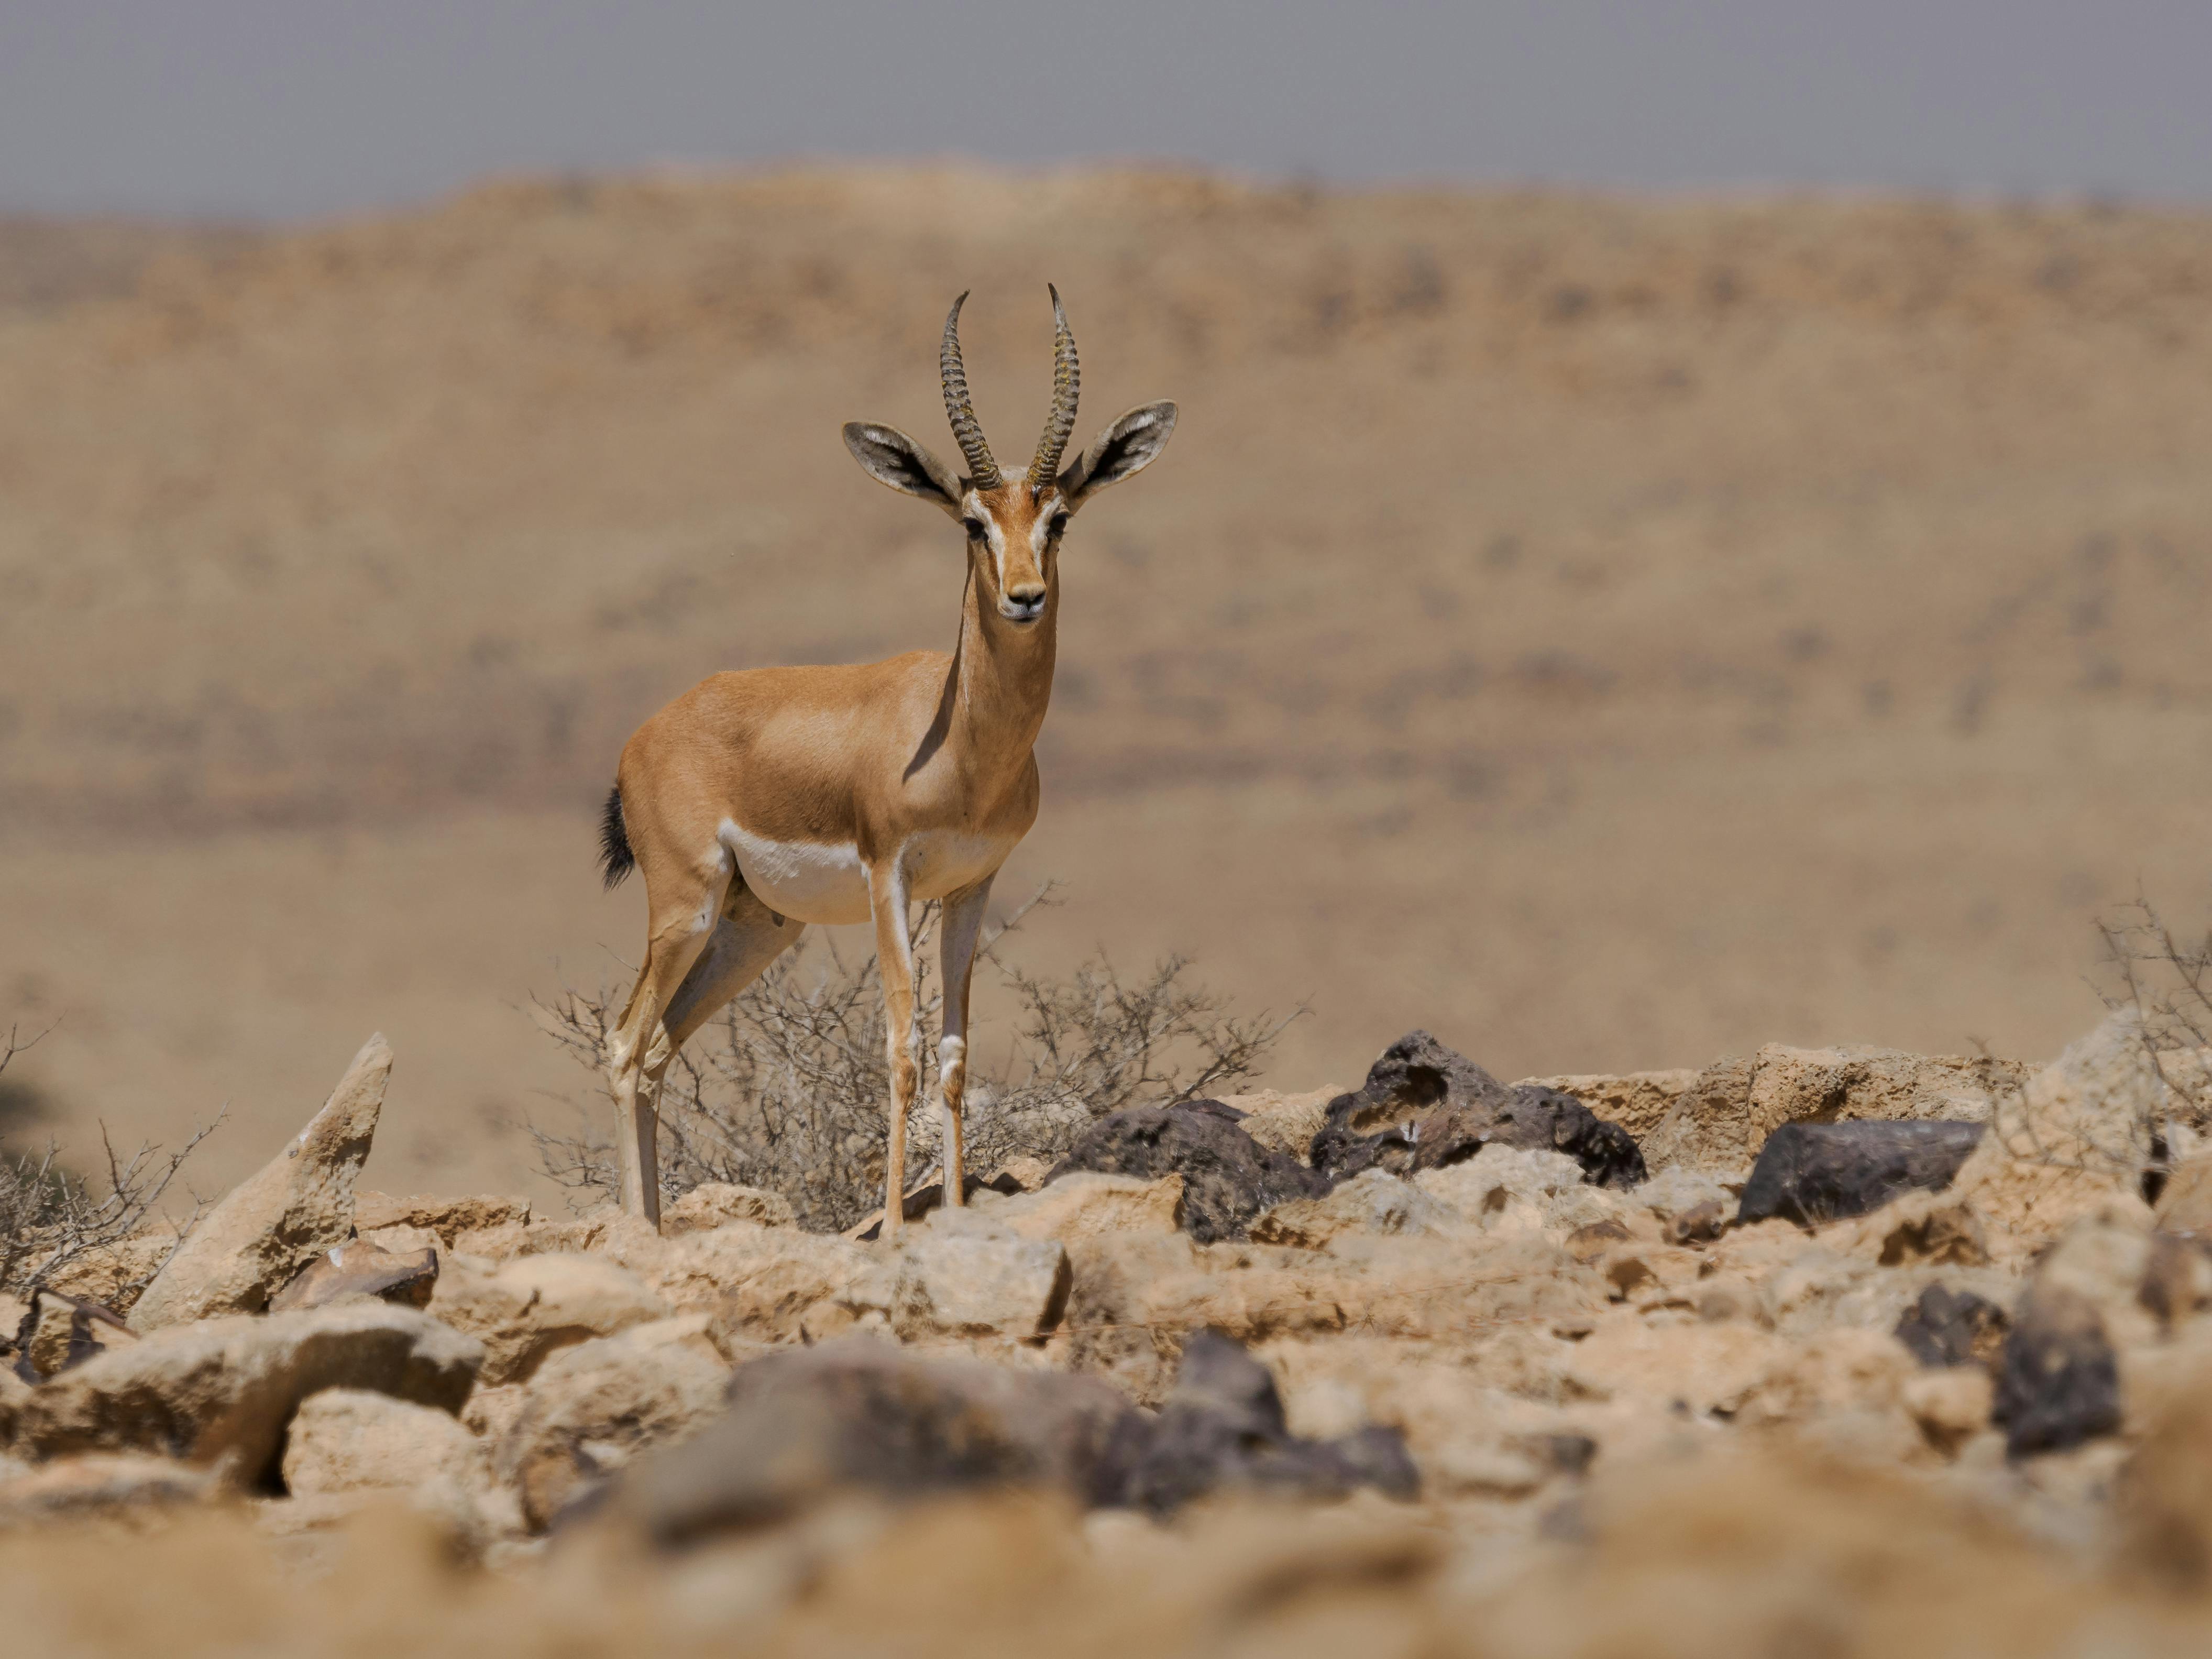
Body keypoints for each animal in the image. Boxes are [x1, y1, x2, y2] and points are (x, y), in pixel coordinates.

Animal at [595, 288, 1177, 1237]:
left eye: (1056, 518)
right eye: (974, 523)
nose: (1024, 596)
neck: (960, 744)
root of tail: (642, 736)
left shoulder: (972, 885)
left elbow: (953, 1051)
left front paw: (951, 1209)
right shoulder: (888, 876)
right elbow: (902, 1046)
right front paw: (899, 1224)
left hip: (757, 926)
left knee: (656, 1052)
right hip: (685, 905)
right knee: (622, 1043)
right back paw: (636, 1229)